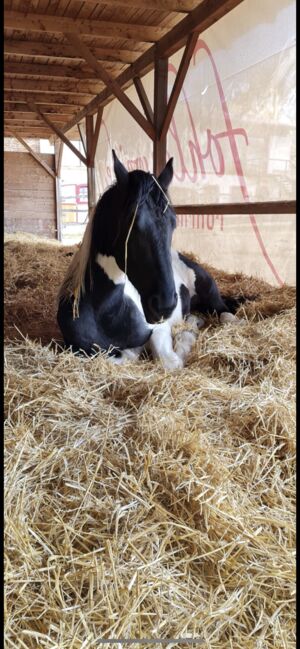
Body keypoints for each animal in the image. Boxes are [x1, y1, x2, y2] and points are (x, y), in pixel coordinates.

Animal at [57, 149, 245, 368]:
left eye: (173, 222)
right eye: (130, 223)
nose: (165, 305)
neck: (103, 312)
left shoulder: (158, 329)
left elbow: (170, 361)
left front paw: (186, 337)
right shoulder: (80, 351)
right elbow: (126, 355)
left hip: (211, 295)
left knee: (225, 313)